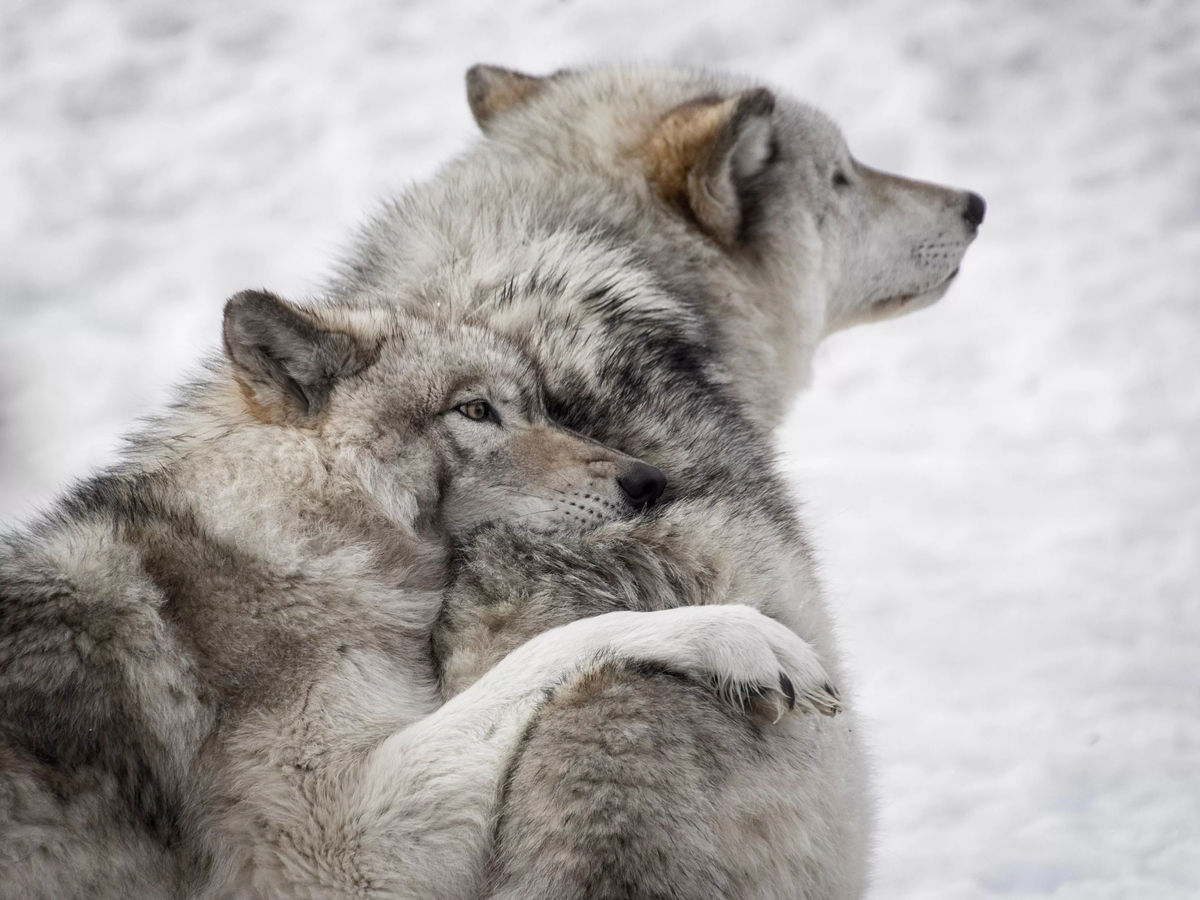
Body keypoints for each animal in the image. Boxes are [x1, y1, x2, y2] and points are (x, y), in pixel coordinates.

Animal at [0, 292, 840, 897]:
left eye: (540, 407)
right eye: (475, 410)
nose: (647, 482)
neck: (289, 539)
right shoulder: (342, 852)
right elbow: (555, 645)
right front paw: (741, 637)